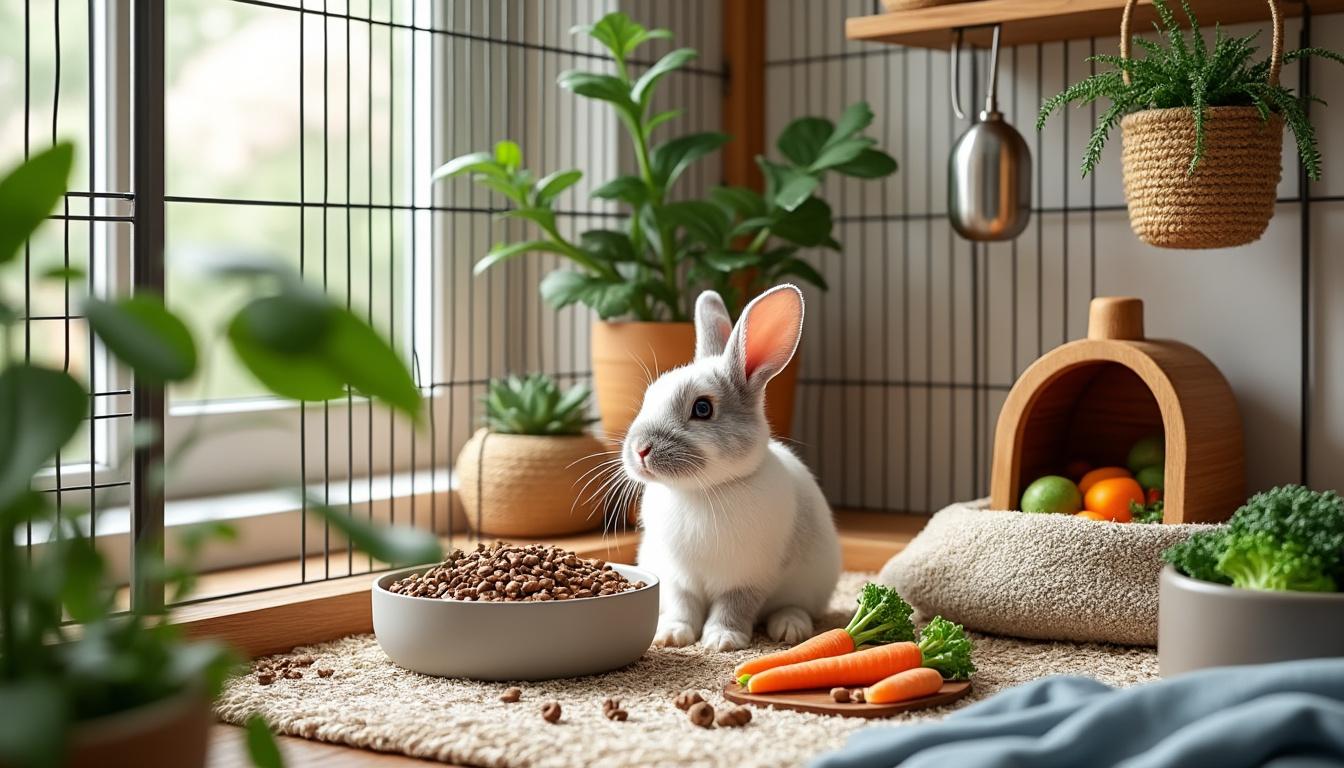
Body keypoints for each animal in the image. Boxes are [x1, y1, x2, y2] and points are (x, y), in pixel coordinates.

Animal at [622, 284, 841, 652]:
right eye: (649, 397)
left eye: (702, 408)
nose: (640, 449)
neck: (702, 490)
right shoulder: (677, 576)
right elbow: (682, 605)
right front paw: (671, 636)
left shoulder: (748, 577)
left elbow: (734, 606)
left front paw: (722, 641)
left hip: (810, 584)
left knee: (796, 606)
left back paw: (790, 628)